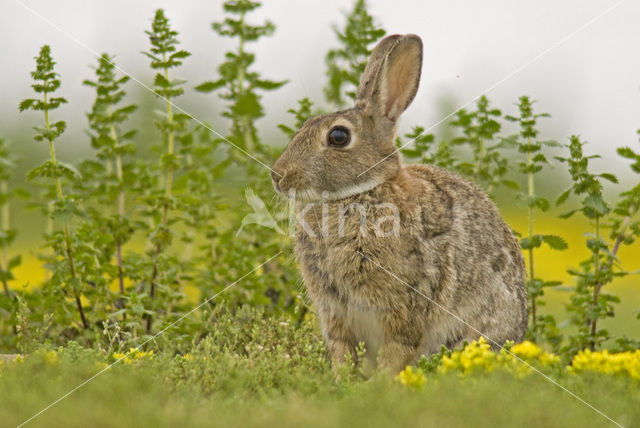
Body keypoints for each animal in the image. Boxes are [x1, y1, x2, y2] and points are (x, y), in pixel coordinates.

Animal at [270, 35, 524, 372]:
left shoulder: (404, 305)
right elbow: (342, 352)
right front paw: (342, 379)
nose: (277, 175)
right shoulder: (335, 313)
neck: (357, 194)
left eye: (338, 136)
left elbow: (397, 351)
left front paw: (383, 382)